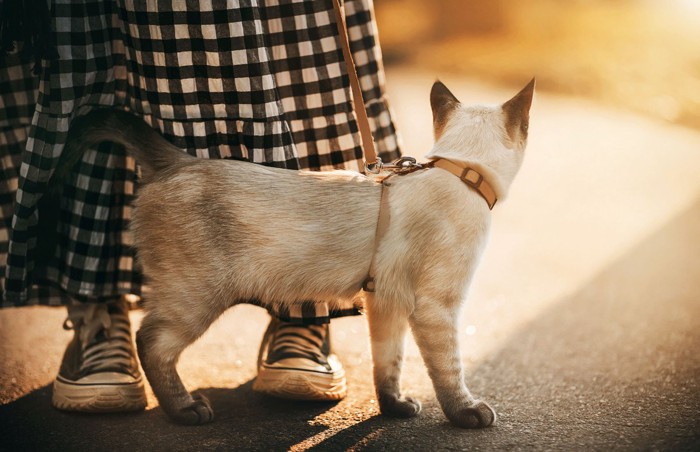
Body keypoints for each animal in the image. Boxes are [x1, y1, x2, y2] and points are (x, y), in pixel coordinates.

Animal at [57, 79, 532, 430]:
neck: (461, 172)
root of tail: (181, 161)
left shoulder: (387, 304)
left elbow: (387, 366)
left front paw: (395, 408)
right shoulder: (436, 307)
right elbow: (450, 370)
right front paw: (467, 415)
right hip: (196, 298)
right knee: (150, 342)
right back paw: (186, 411)